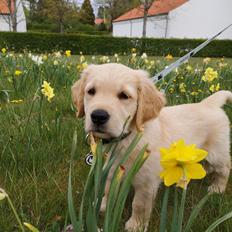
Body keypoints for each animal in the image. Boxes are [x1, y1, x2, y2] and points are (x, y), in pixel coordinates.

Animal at [71, 63, 231, 232]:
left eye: (124, 95)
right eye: (91, 91)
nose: (98, 116)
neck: (126, 139)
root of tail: (209, 103)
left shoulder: (147, 183)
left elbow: (139, 205)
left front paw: (136, 225)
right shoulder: (110, 171)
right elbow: (108, 190)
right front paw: (101, 206)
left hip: (217, 153)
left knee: (225, 168)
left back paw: (217, 188)